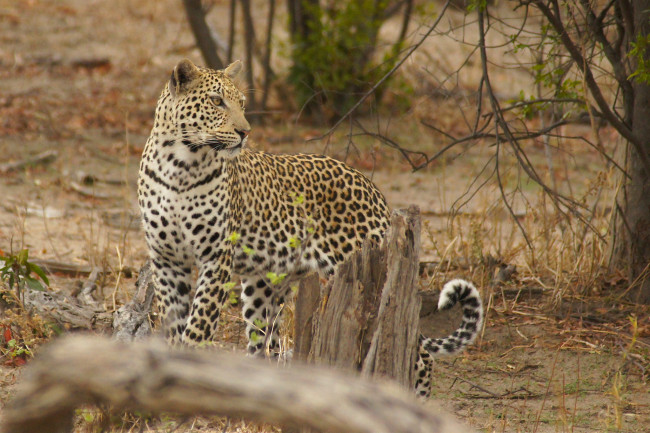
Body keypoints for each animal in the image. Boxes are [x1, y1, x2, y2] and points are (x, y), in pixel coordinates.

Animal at [137, 59, 484, 398]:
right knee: (265, 344)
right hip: (264, 284)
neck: (180, 164)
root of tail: (371, 186)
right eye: (216, 101)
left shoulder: (216, 256)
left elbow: (199, 323)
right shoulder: (167, 259)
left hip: (362, 268)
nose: (245, 132)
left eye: (242, 103)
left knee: (417, 350)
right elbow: (174, 321)